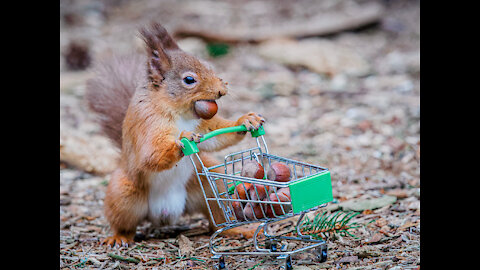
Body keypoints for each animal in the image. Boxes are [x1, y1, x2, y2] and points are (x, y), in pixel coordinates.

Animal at [86, 23, 266, 247]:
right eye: (189, 80)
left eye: (208, 65)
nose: (221, 90)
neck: (180, 113)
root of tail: (165, 213)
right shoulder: (149, 123)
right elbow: (150, 154)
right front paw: (183, 140)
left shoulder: (202, 124)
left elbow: (216, 136)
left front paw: (246, 120)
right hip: (123, 195)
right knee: (125, 224)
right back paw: (119, 237)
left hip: (209, 184)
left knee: (215, 218)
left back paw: (237, 229)